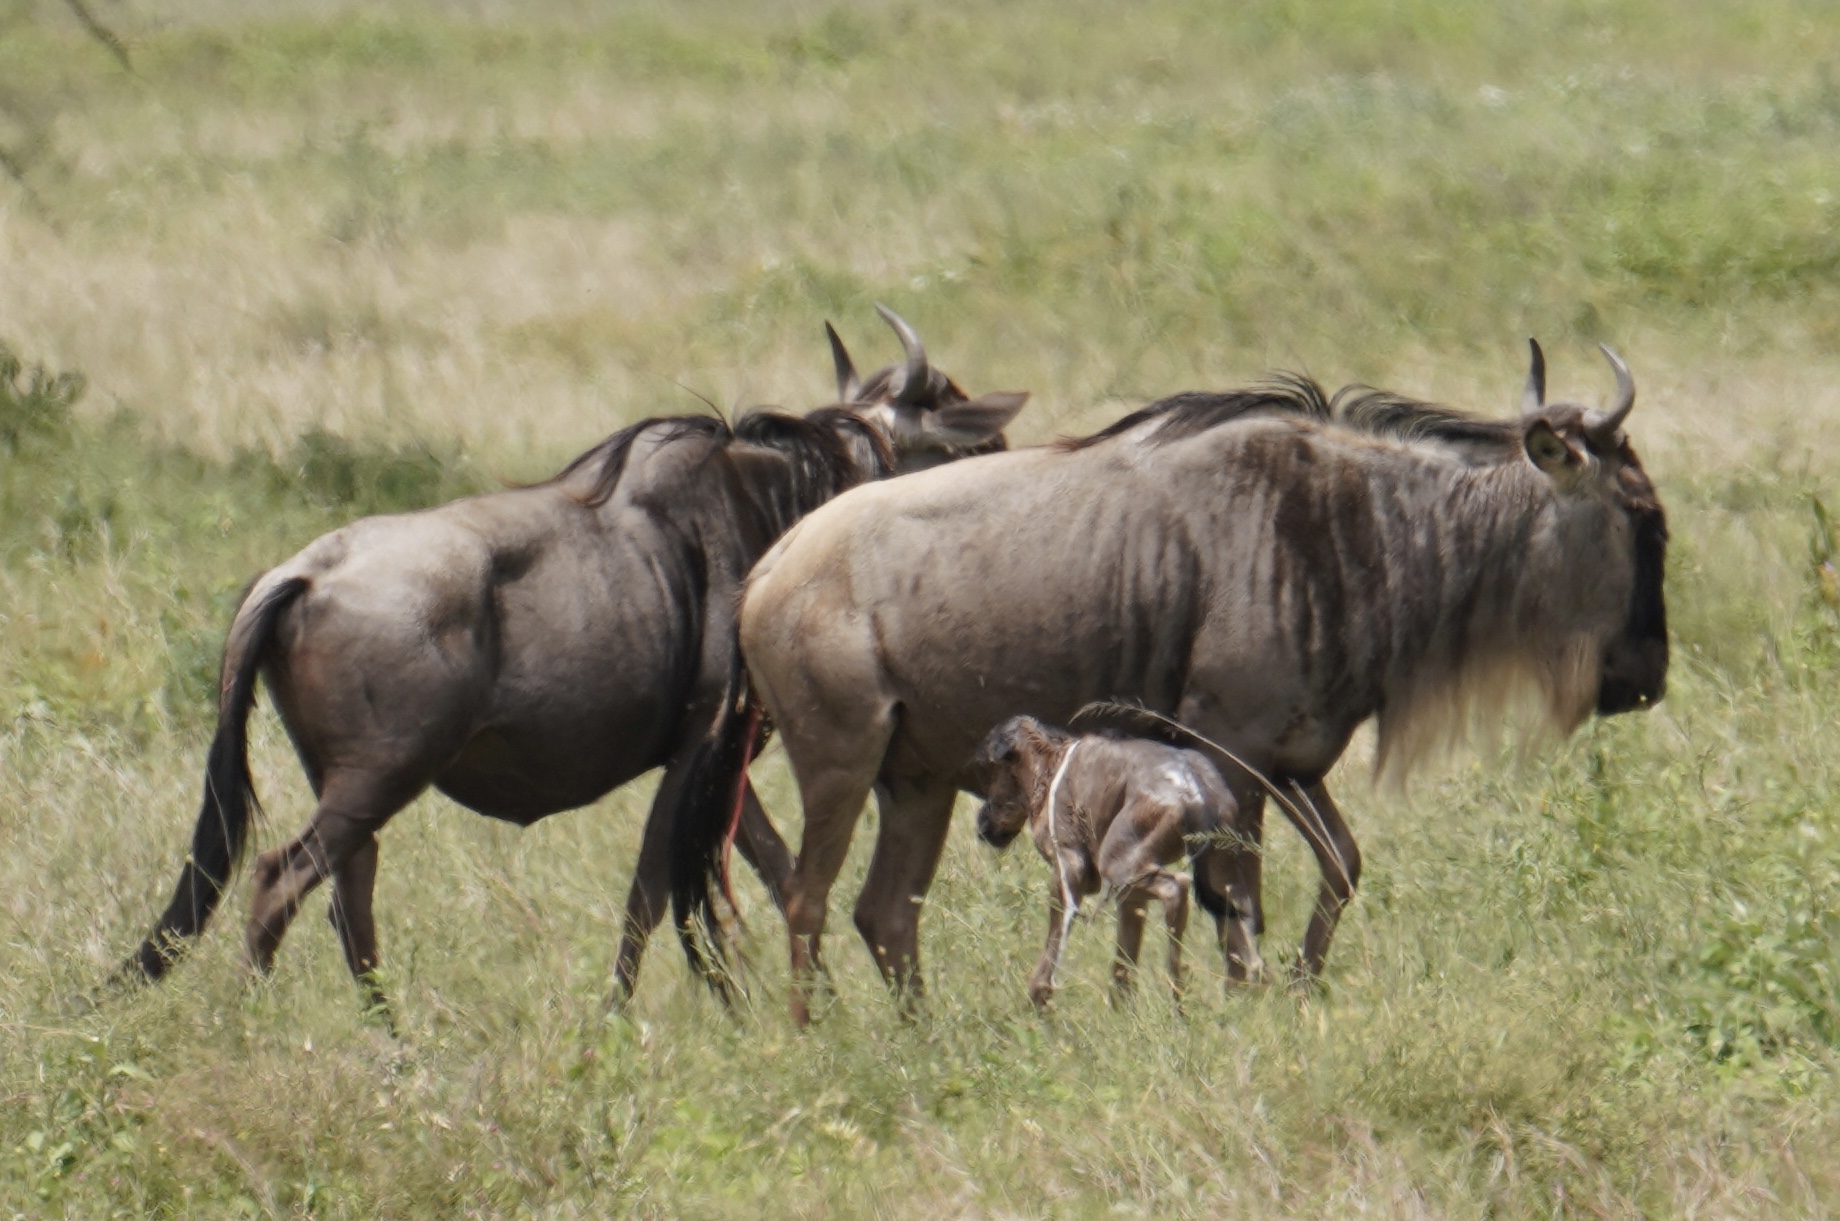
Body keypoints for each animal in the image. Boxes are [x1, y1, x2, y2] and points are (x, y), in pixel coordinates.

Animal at [978, 709, 1236, 1007]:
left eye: (990, 768)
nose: (982, 824)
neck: (1049, 765)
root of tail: (1192, 787)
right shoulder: (1130, 900)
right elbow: (1124, 958)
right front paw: (1122, 1007)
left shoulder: (1069, 872)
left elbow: (1055, 940)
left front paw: (1038, 995)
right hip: (1217, 876)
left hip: (1120, 868)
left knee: (1177, 886)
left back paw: (1176, 994)